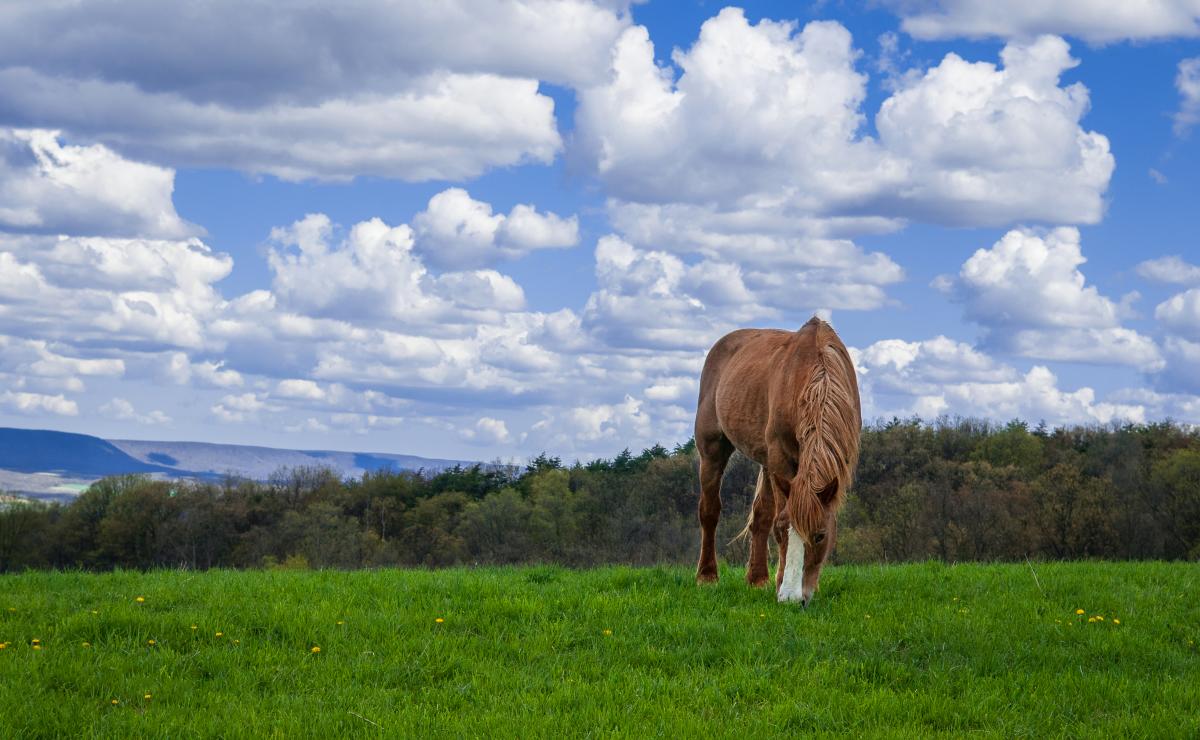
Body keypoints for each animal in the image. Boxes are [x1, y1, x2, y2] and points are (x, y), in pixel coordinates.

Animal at [696, 314, 864, 602]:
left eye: (820, 536)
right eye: (782, 534)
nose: (792, 598)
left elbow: (768, 517)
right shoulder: (781, 458)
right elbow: (777, 515)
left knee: (760, 516)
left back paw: (757, 578)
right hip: (712, 450)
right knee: (710, 511)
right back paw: (707, 576)